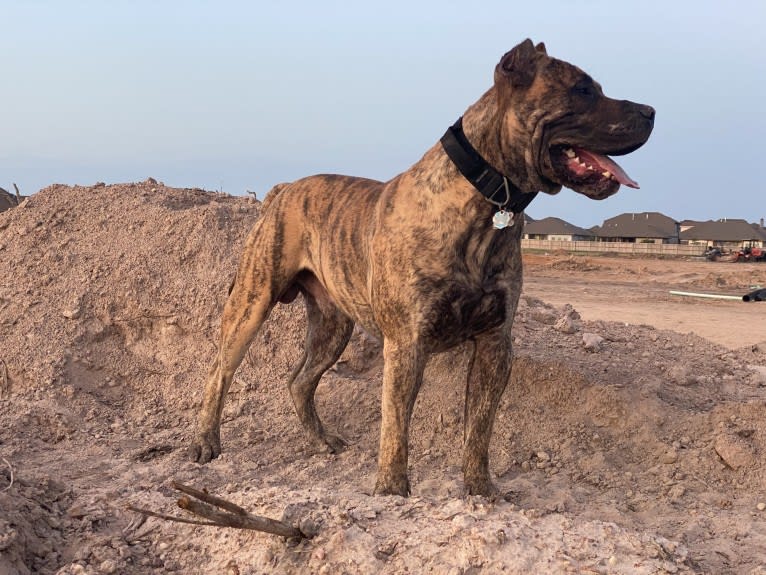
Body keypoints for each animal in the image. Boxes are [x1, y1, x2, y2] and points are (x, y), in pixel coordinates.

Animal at [192, 38, 656, 498]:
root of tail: (284, 189)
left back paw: (321, 440)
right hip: (251, 304)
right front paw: (392, 491)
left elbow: (479, 430)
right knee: (219, 371)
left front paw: (480, 490)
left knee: (299, 381)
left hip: (332, 326)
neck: (487, 203)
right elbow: (396, 429)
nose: (651, 111)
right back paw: (205, 442)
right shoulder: (406, 344)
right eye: (583, 90)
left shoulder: (494, 345)